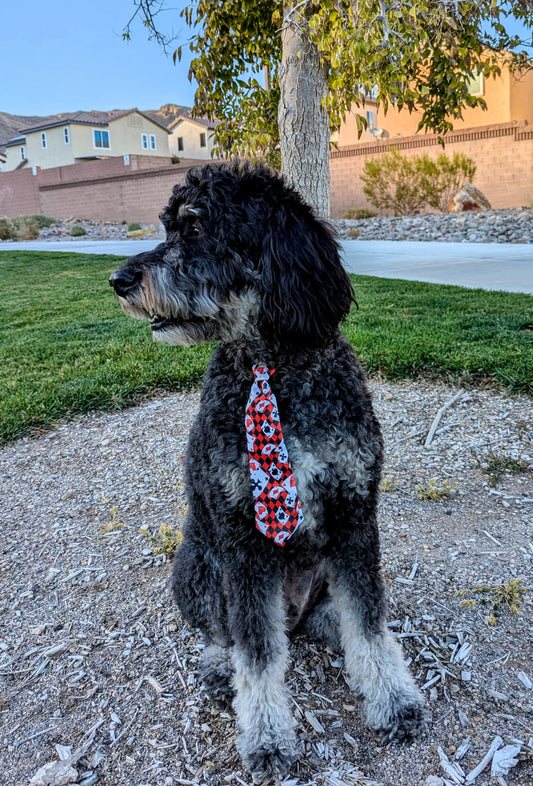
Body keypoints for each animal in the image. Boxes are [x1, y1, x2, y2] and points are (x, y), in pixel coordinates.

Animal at [109, 162, 424, 780]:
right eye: (168, 226)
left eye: (196, 228)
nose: (119, 279)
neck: (272, 367)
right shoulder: (243, 538)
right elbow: (256, 651)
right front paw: (268, 738)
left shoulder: (354, 514)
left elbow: (369, 623)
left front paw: (392, 700)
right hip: (201, 563)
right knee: (227, 631)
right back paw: (218, 665)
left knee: (329, 619)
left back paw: (326, 630)